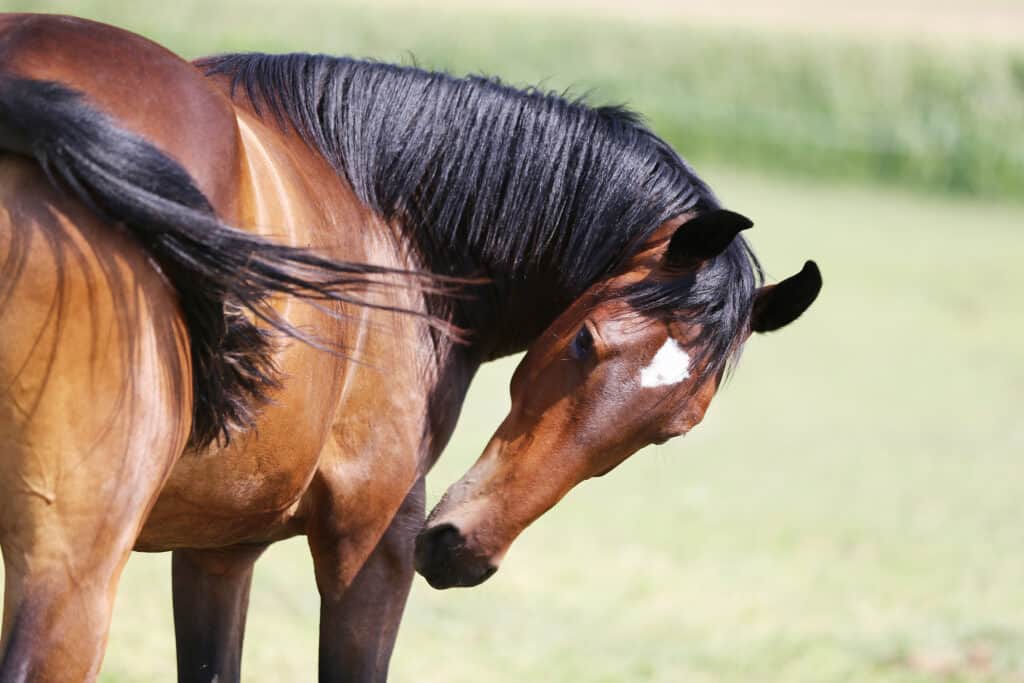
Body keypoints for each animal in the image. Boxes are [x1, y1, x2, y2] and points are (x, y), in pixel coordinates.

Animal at [0, 12, 819, 683]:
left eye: (673, 429)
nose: (463, 551)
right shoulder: (374, 546)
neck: (389, 216)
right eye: (585, 342)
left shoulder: (216, 550)